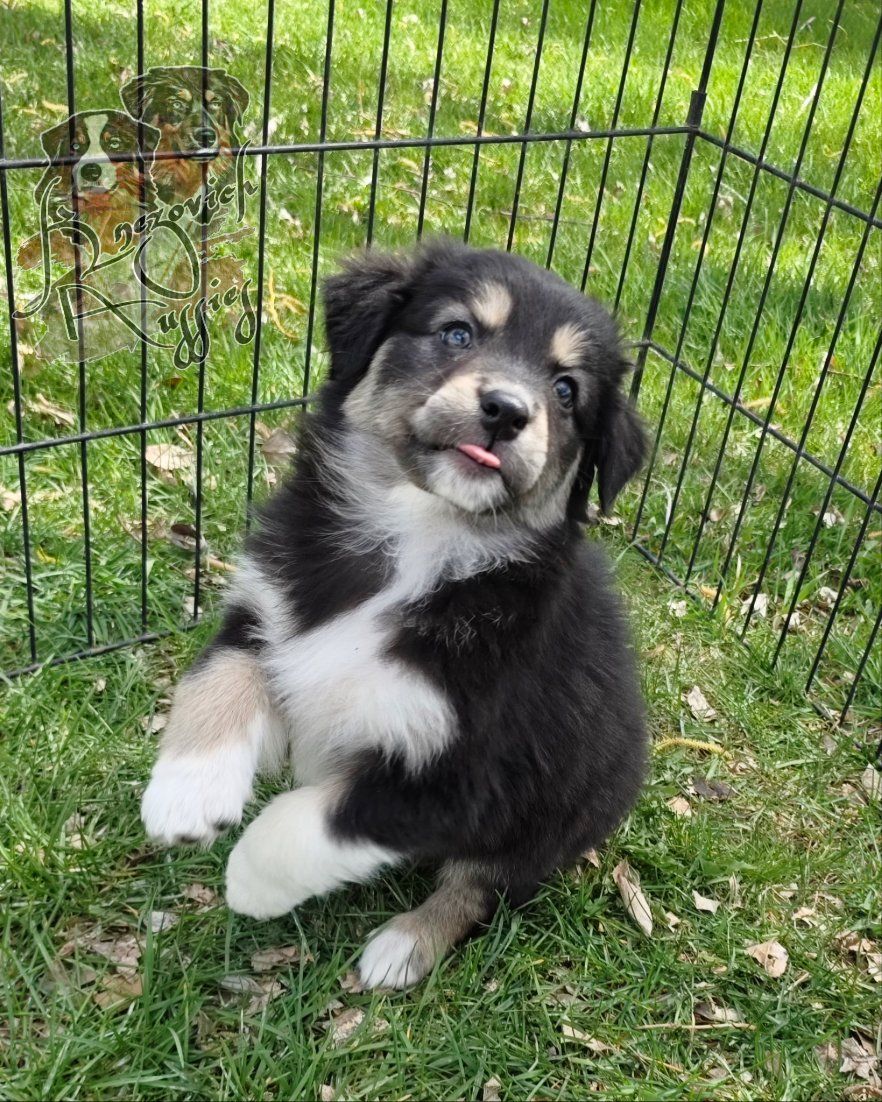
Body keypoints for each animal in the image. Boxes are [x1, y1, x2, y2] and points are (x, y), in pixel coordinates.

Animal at [141, 241, 648, 989]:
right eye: (458, 333)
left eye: (566, 391)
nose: (506, 410)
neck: (417, 539)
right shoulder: (272, 610)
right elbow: (217, 676)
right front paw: (187, 793)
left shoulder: (460, 778)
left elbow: (310, 822)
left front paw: (249, 884)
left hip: (550, 818)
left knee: (481, 888)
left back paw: (404, 947)